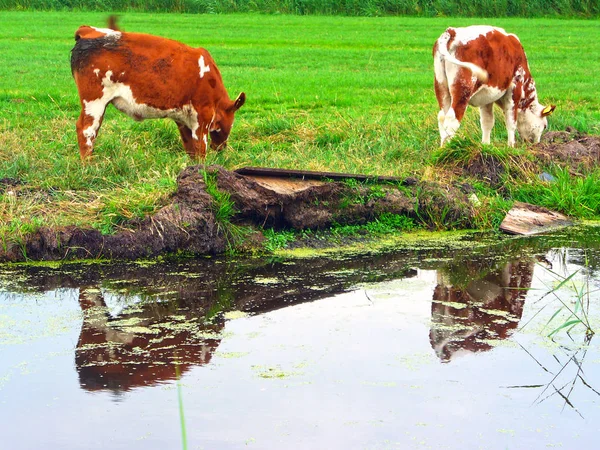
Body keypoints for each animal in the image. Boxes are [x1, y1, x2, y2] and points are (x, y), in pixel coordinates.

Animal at [71, 19, 245, 160]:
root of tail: (88, 30)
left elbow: (191, 149)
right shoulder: (203, 115)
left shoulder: (183, 119)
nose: (221, 147)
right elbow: (200, 149)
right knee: (86, 131)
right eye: (232, 120)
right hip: (94, 101)